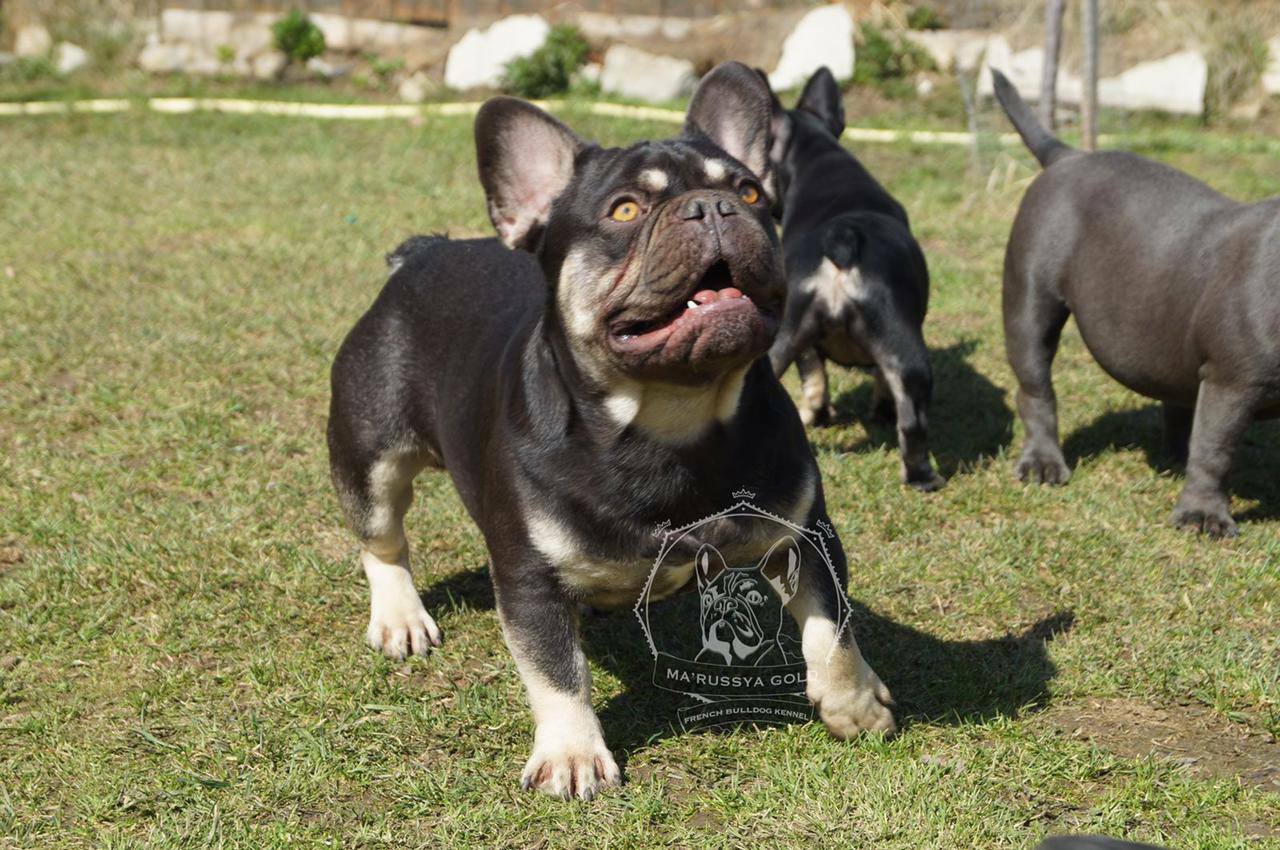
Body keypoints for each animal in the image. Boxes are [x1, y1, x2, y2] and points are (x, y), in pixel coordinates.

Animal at [325, 63, 896, 798]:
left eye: (749, 191)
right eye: (625, 210)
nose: (713, 208)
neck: (671, 418)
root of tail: (424, 255)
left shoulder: (803, 533)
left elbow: (832, 624)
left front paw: (854, 702)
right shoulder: (529, 578)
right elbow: (556, 670)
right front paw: (572, 752)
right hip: (372, 451)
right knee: (382, 538)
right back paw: (399, 616)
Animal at [757, 65, 942, 489]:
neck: (819, 158)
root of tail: (842, 239)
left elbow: (814, 379)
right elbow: (870, 382)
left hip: (787, 329)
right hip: (905, 349)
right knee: (912, 419)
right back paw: (922, 478)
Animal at [993, 72, 1274, 537]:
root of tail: (1067, 157)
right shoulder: (1233, 382)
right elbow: (1215, 452)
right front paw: (1203, 516)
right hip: (1029, 302)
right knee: (1036, 384)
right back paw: (1043, 463)